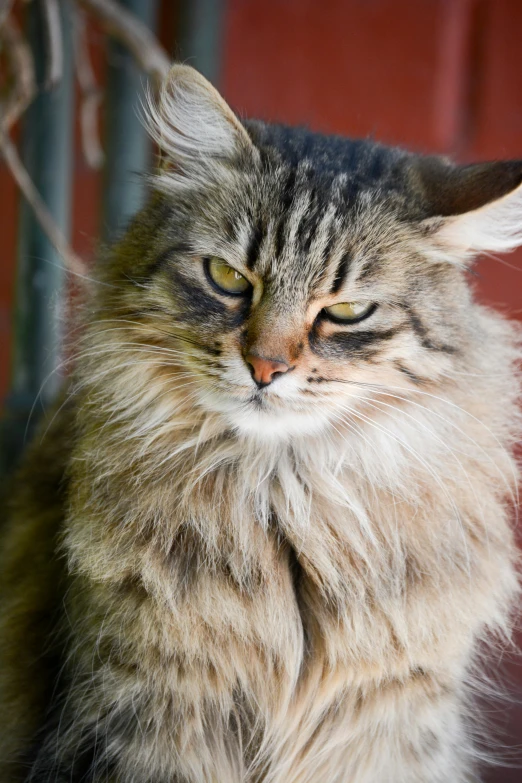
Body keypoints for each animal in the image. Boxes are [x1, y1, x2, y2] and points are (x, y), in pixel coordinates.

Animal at [1, 64, 520, 780]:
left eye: (348, 311)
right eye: (227, 276)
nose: (265, 367)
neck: (289, 505)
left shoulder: (391, 732)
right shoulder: (140, 724)